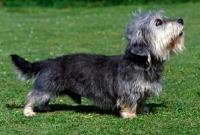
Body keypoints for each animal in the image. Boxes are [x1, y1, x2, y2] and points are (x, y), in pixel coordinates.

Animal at [9, 9, 184, 118]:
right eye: (159, 22)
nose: (181, 19)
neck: (142, 63)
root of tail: (48, 62)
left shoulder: (143, 91)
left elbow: (140, 101)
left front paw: (141, 110)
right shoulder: (128, 92)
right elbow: (129, 103)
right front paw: (130, 115)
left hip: (51, 88)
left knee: (44, 99)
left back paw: (44, 107)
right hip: (45, 86)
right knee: (32, 96)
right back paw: (28, 111)